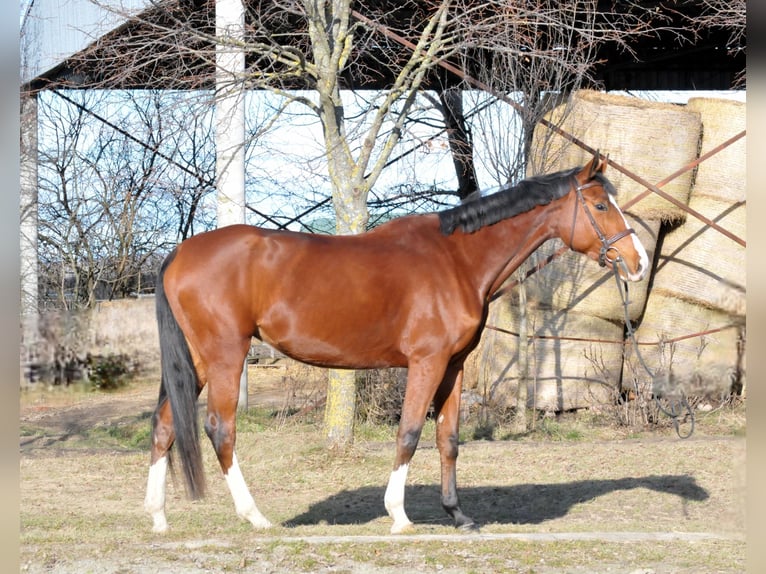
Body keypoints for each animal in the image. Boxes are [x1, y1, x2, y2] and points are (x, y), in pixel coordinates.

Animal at [144, 153, 649, 534]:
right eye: (600, 206)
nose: (638, 262)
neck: (456, 260)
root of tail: (179, 253)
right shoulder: (427, 362)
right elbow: (409, 433)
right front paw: (399, 516)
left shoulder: (453, 366)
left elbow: (448, 439)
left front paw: (458, 515)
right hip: (225, 355)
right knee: (220, 428)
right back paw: (255, 516)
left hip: (197, 361)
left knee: (165, 425)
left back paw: (159, 519)